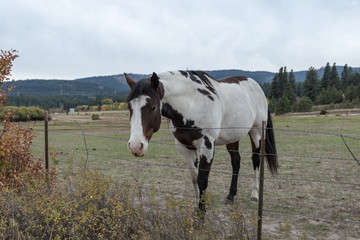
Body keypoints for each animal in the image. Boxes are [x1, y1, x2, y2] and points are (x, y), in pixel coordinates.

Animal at [124, 70, 278, 217]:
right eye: (129, 107)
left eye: (153, 107)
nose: (135, 146)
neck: (192, 103)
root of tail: (256, 86)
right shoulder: (184, 147)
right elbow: (194, 178)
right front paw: (197, 209)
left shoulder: (207, 145)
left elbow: (202, 179)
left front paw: (201, 216)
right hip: (233, 137)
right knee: (236, 162)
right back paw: (230, 196)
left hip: (256, 133)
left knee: (256, 160)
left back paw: (254, 195)